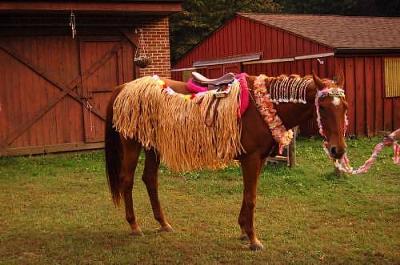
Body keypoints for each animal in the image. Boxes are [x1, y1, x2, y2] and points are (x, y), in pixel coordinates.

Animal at [105, 71, 346, 250]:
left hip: (152, 147)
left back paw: (163, 223)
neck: (265, 106)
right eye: (323, 107)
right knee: (127, 180)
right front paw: (253, 239)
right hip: (132, 145)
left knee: (150, 180)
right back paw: (134, 226)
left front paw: (243, 230)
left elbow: (248, 195)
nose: (338, 150)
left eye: (344, 107)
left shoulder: (259, 160)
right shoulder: (251, 159)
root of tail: (124, 87)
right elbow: (251, 198)